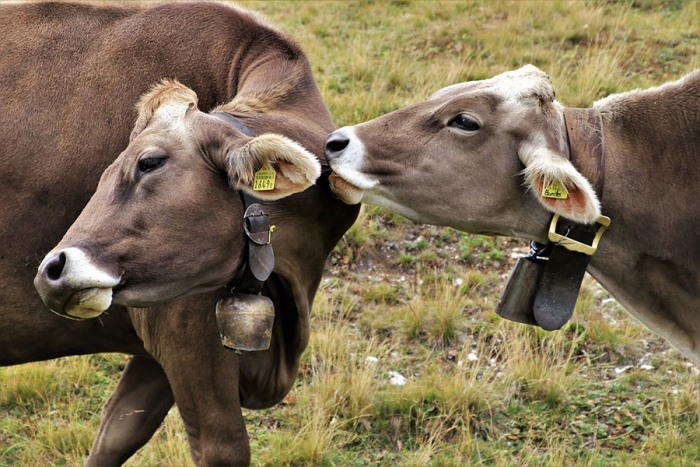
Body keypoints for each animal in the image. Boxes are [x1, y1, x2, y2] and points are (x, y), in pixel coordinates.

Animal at [1, 1, 356, 466]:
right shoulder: (185, 328)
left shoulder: (157, 353)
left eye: (149, 163)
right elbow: (221, 446)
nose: (51, 271)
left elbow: (117, 431)